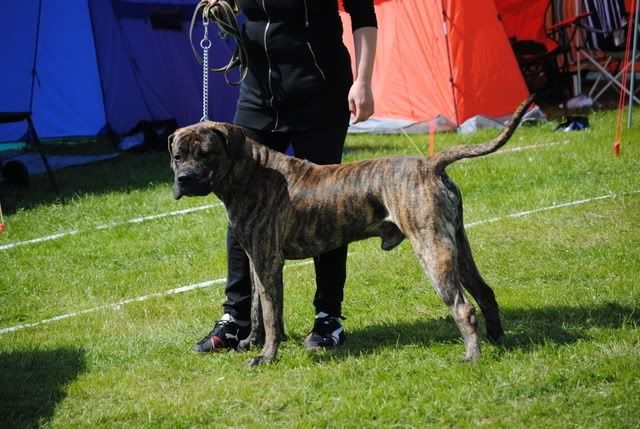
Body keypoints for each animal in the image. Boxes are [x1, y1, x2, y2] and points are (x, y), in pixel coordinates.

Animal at [170, 96, 536, 364]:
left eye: (206, 153)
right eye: (177, 156)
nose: (184, 179)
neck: (250, 172)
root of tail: (430, 165)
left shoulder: (268, 262)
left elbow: (273, 315)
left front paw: (267, 356)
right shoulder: (256, 261)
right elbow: (261, 309)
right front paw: (250, 342)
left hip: (433, 249)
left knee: (463, 307)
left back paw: (472, 356)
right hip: (458, 245)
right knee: (485, 292)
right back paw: (498, 340)